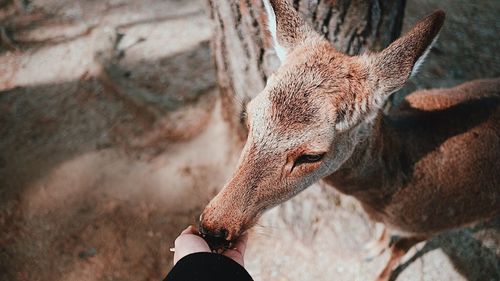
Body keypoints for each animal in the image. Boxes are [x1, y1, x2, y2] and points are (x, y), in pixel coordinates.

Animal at [198, 1, 500, 278]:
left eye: (312, 155)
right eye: (249, 116)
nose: (213, 228)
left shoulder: (437, 224)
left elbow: (398, 251)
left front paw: (380, 273)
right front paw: (372, 248)